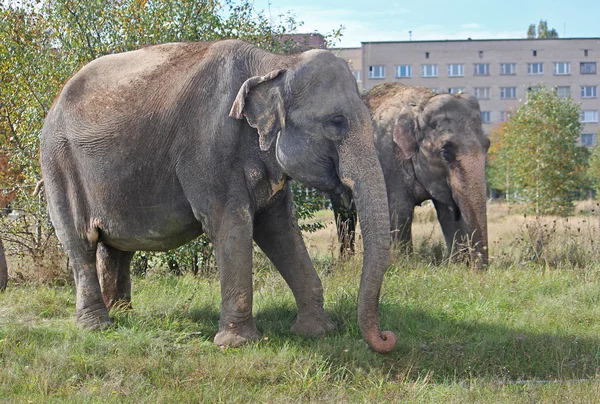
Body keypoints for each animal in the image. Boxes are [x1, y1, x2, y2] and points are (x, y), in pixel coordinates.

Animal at [39, 39, 396, 352]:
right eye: (336, 122)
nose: (386, 338)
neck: (275, 64)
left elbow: (280, 230)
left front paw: (316, 332)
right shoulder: (208, 150)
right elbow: (231, 225)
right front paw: (238, 344)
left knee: (116, 247)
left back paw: (123, 315)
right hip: (58, 164)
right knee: (81, 243)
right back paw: (96, 326)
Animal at [336, 83, 490, 266]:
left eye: (488, 145)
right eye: (445, 152)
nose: (477, 267)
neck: (421, 105)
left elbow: (446, 213)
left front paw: (456, 264)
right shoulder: (387, 158)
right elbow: (399, 210)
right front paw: (403, 263)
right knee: (344, 214)